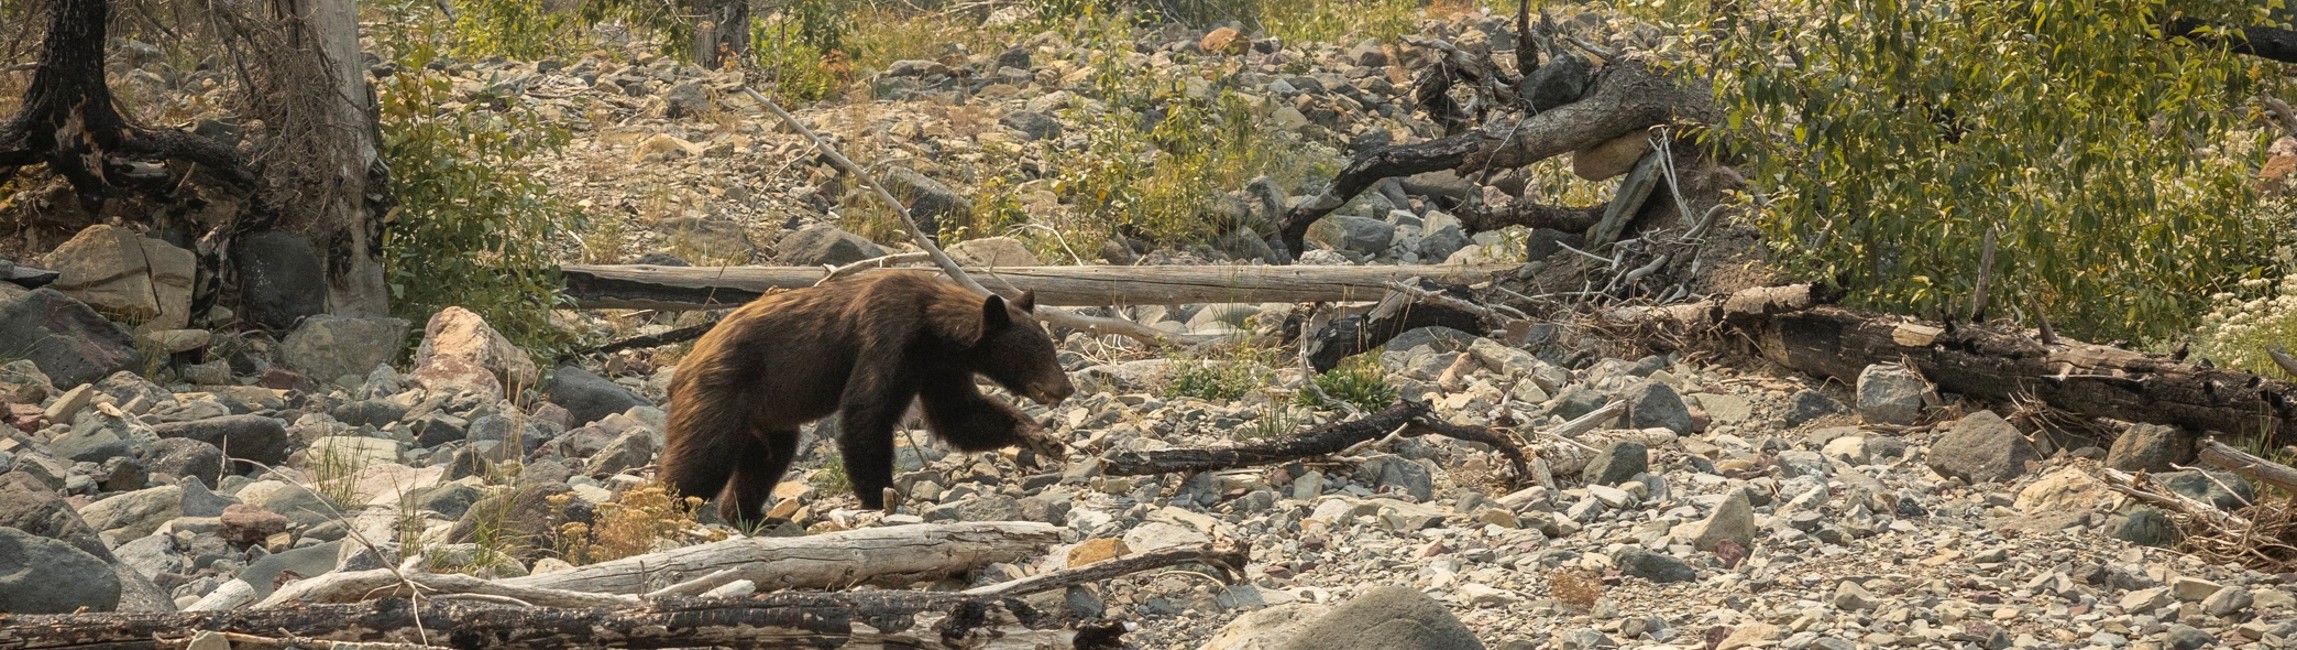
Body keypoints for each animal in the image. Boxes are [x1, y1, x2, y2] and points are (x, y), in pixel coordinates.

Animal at [657, 271, 1076, 525]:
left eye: (1049, 347)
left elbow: (958, 414)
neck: (934, 332)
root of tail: (682, 369)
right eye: (1037, 353)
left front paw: (1043, 438)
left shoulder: (938, 368)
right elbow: (867, 412)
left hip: (767, 418)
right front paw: (882, 496)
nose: (1066, 387)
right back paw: (668, 506)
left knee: (767, 458)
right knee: (702, 457)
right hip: (720, 394)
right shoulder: (886, 336)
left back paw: (752, 515)